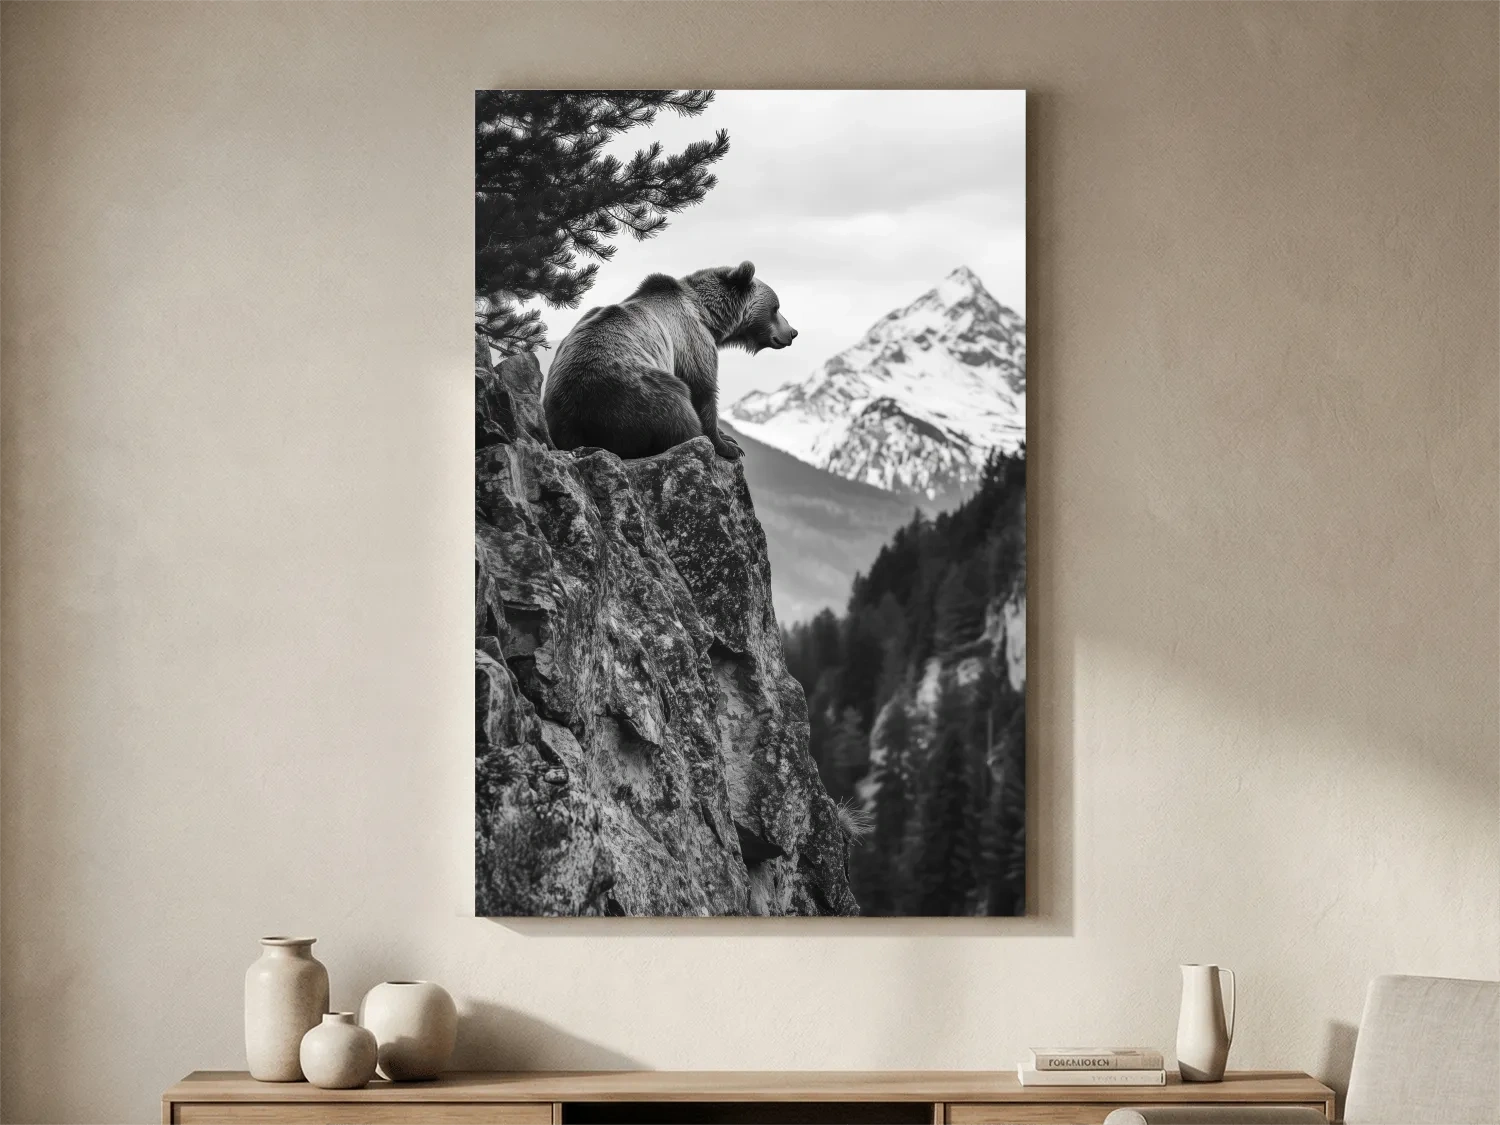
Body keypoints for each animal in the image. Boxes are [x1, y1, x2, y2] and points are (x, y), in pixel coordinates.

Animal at [542, 261, 797, 461]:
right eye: (776, 308)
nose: (793, 332)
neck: (709, 317)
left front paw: (727, 437)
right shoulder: (691, 340)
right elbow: (703, 389)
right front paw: (727, 446)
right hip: (637, 393)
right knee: (677, 410)